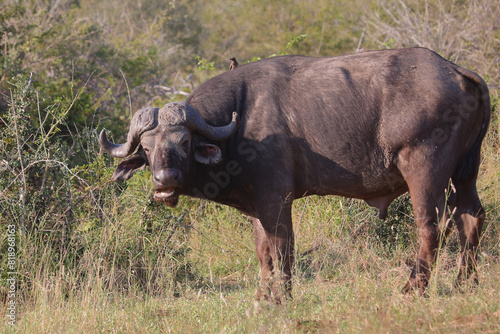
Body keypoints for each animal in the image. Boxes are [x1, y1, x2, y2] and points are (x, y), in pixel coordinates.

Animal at [99, 46, 490, 300]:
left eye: (183, 141)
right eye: (146, 148)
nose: (165, 181)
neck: (239, 124)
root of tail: (456, 71)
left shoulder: (278, 200)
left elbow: (282, 248)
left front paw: (283, 296)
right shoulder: (258, 206)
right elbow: (263, 251)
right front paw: (265, 296)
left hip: (424, 170)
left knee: (430, 225)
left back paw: (414, 287)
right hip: (466, 170)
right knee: (470, 216)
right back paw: (464, 283)